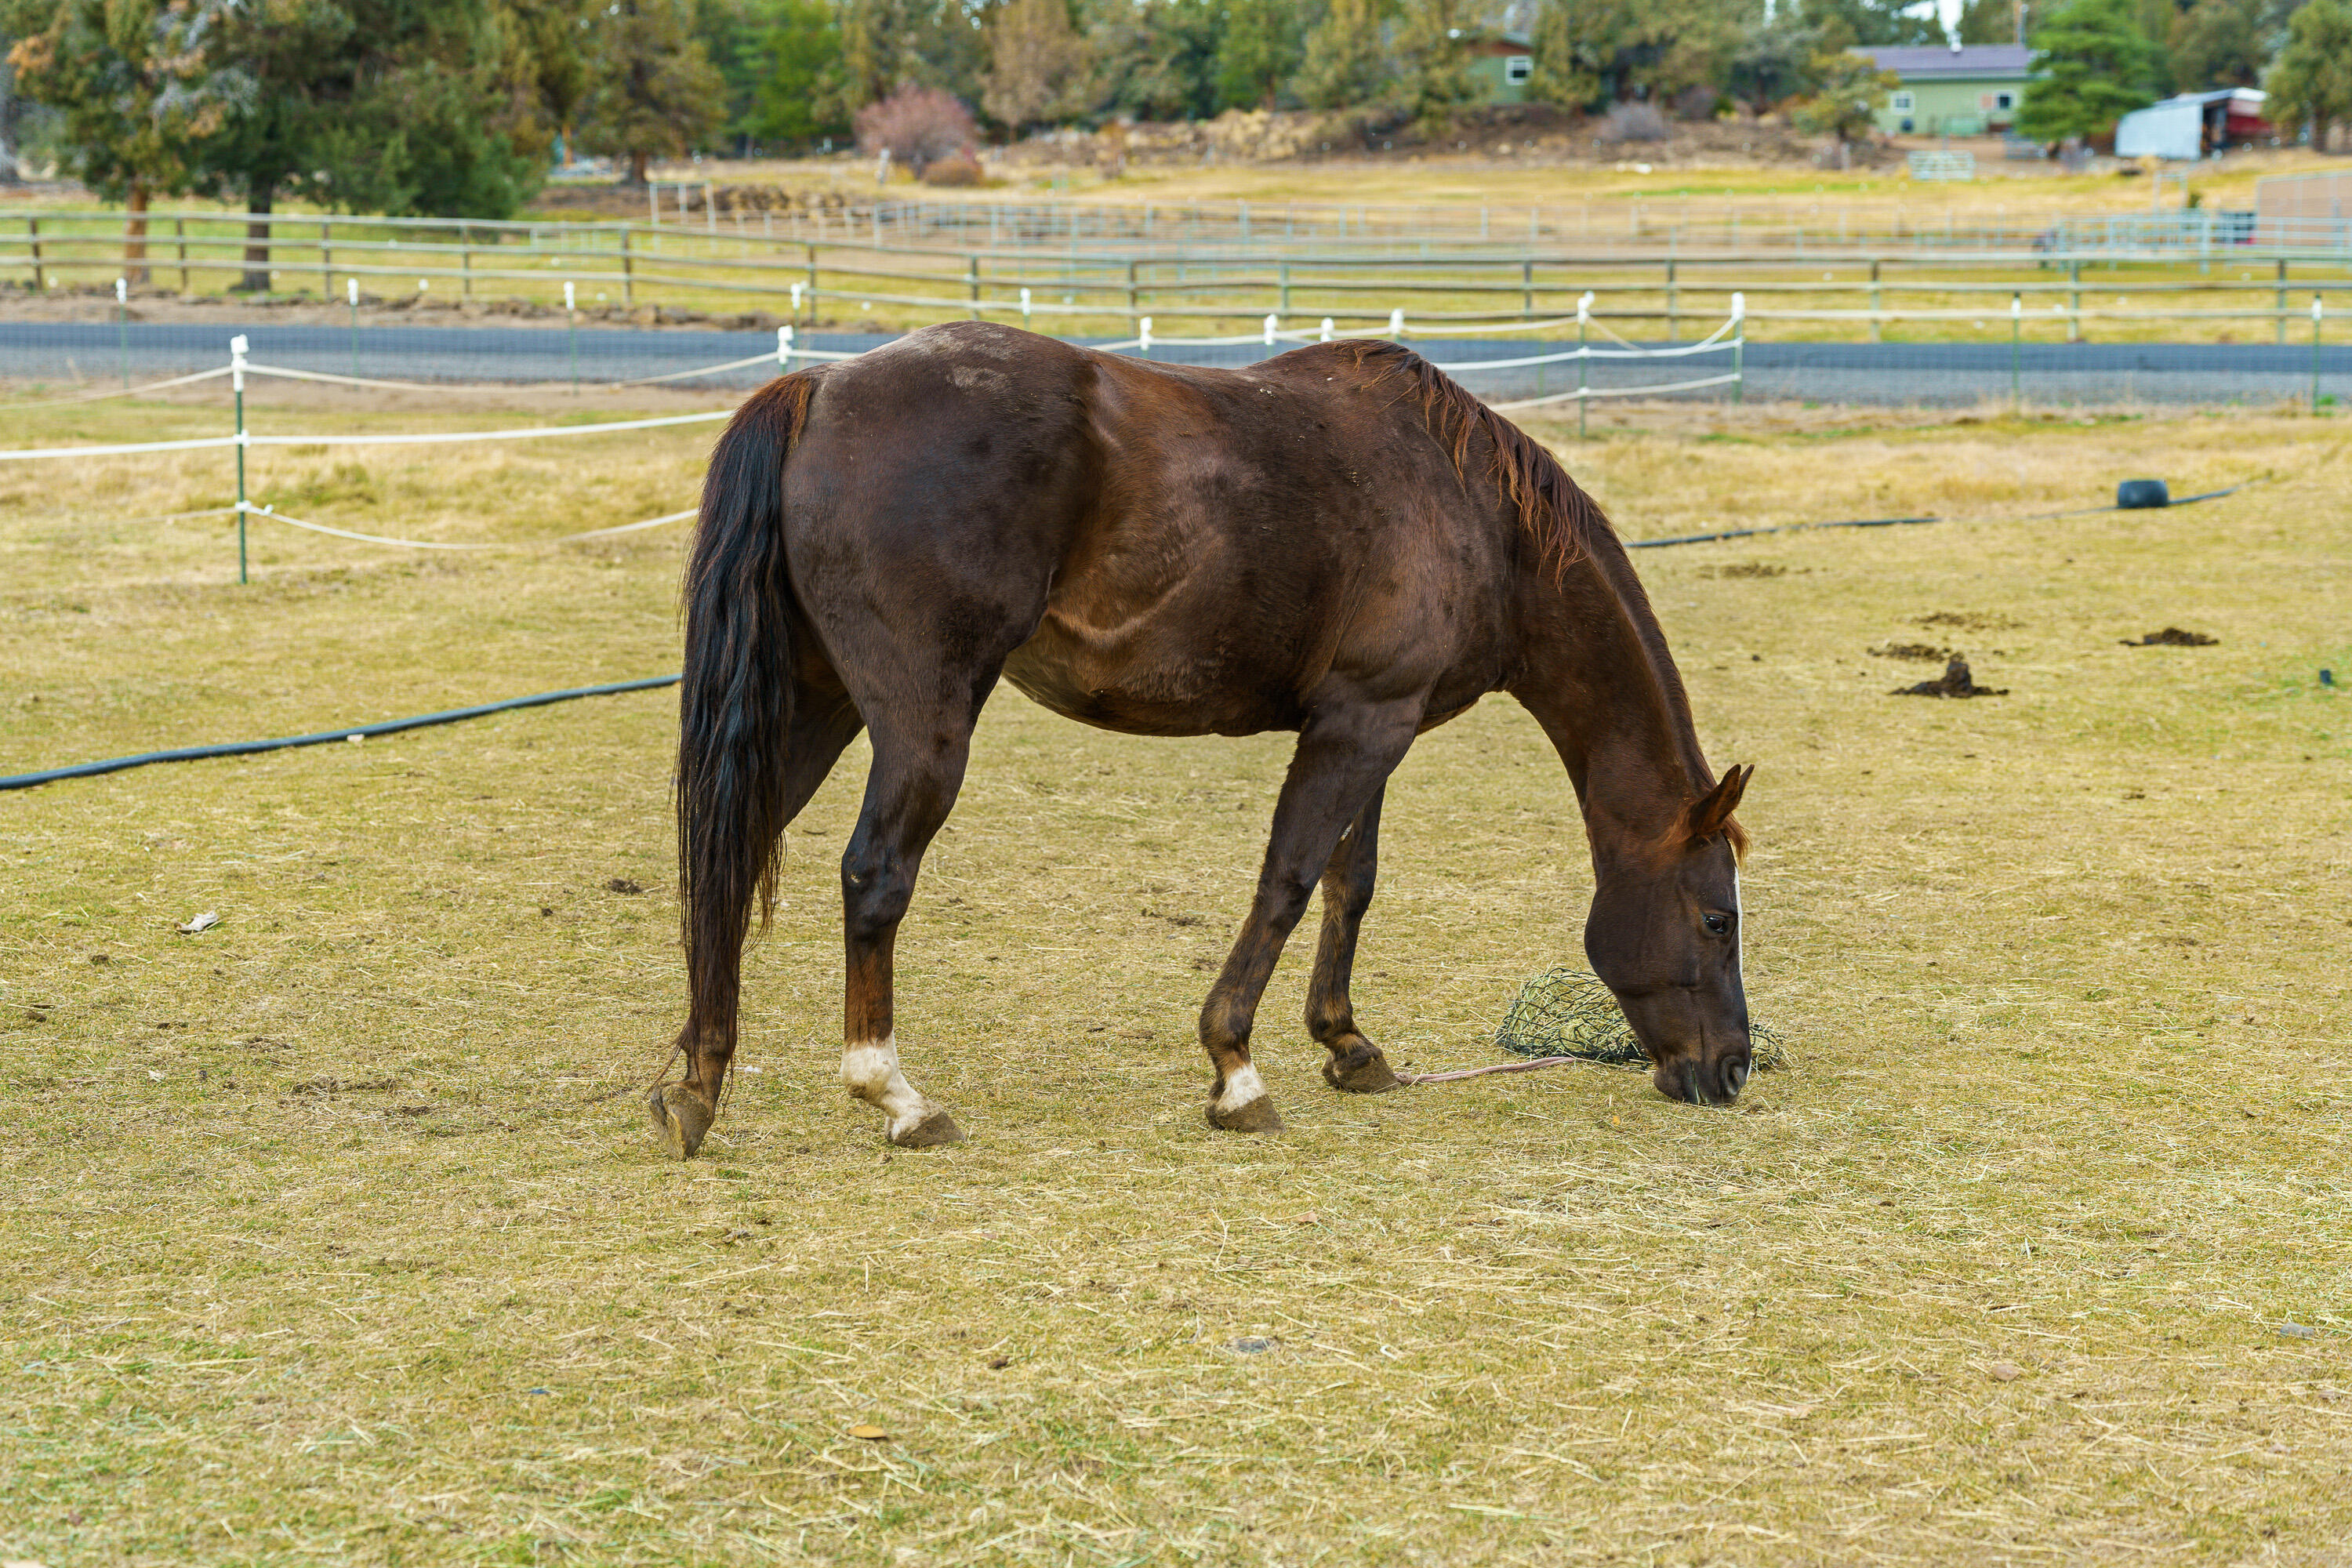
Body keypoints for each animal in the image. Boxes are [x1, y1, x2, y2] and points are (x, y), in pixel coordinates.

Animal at [650, 321, 1753, 1159]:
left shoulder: (1380, 725)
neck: (1472, 507)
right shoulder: (1360, 724)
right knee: (874, 875)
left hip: (817, 705)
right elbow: (1289, 882)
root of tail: (820, 387)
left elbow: (1353, 882)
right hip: (922, 725)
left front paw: (1348, 1044)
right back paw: (895, 1093)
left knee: (731, 850)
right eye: (1718, 920)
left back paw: (699, 1077)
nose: (1734, 1067)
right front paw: (1236, 1068)